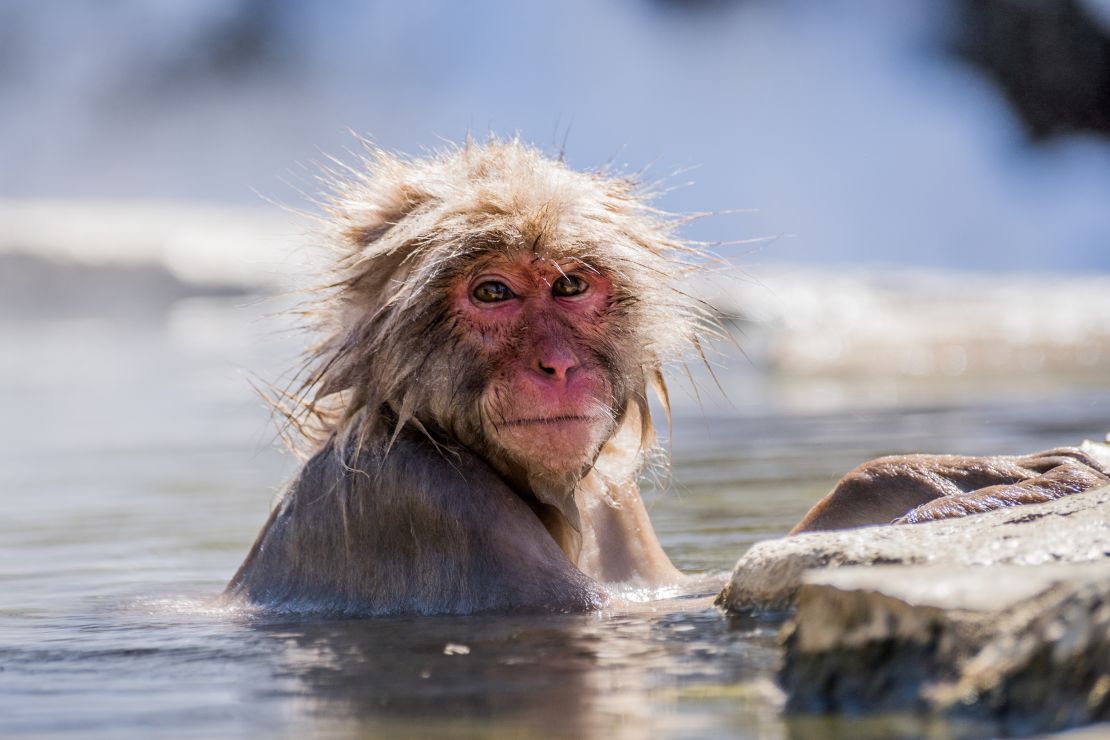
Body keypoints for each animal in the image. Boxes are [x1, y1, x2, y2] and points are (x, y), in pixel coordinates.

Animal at [225, 137, 1110, 612]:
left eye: (570, 285)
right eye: (492, 292)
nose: (557, 365)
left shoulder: (611, 497)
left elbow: (673, 587)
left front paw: (932, 478)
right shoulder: (417, 498)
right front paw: (944, 495)